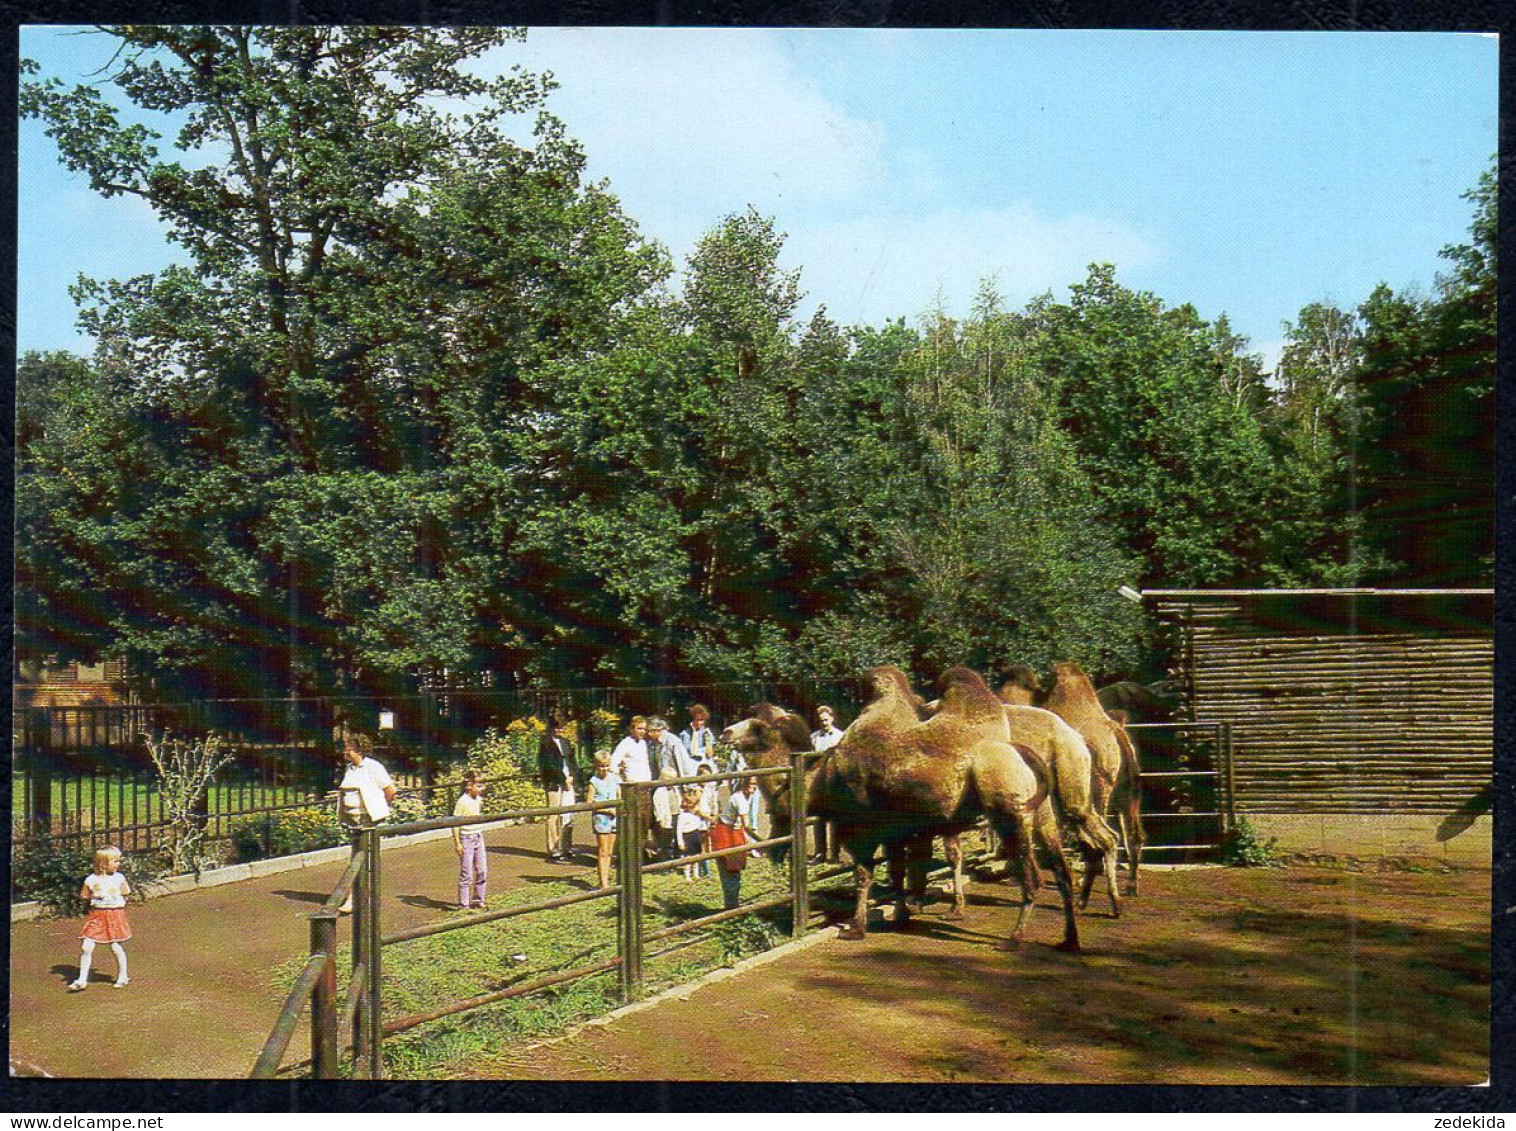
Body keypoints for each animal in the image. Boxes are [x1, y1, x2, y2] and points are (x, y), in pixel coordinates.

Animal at [1043, 657, 1146, 903]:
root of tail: (1119, 735)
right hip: (1127, 792)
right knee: (1133, 834)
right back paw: (1130, 886)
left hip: (1099, 786)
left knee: (1101, 834)